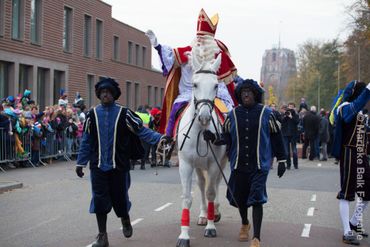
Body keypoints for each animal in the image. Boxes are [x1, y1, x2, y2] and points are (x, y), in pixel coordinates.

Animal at [175, 46, 227, 247]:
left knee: (214, 185)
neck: (200, 131)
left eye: (215, 85)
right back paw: (204, 215)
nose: (204, 116)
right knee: (202, 184)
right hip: (197, 166)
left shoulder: (213, 164)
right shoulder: (186, 165)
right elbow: (187, 198)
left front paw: (211, 227)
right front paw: (184, 235)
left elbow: (211, 192)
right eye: (195, 84)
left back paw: (214, 213)